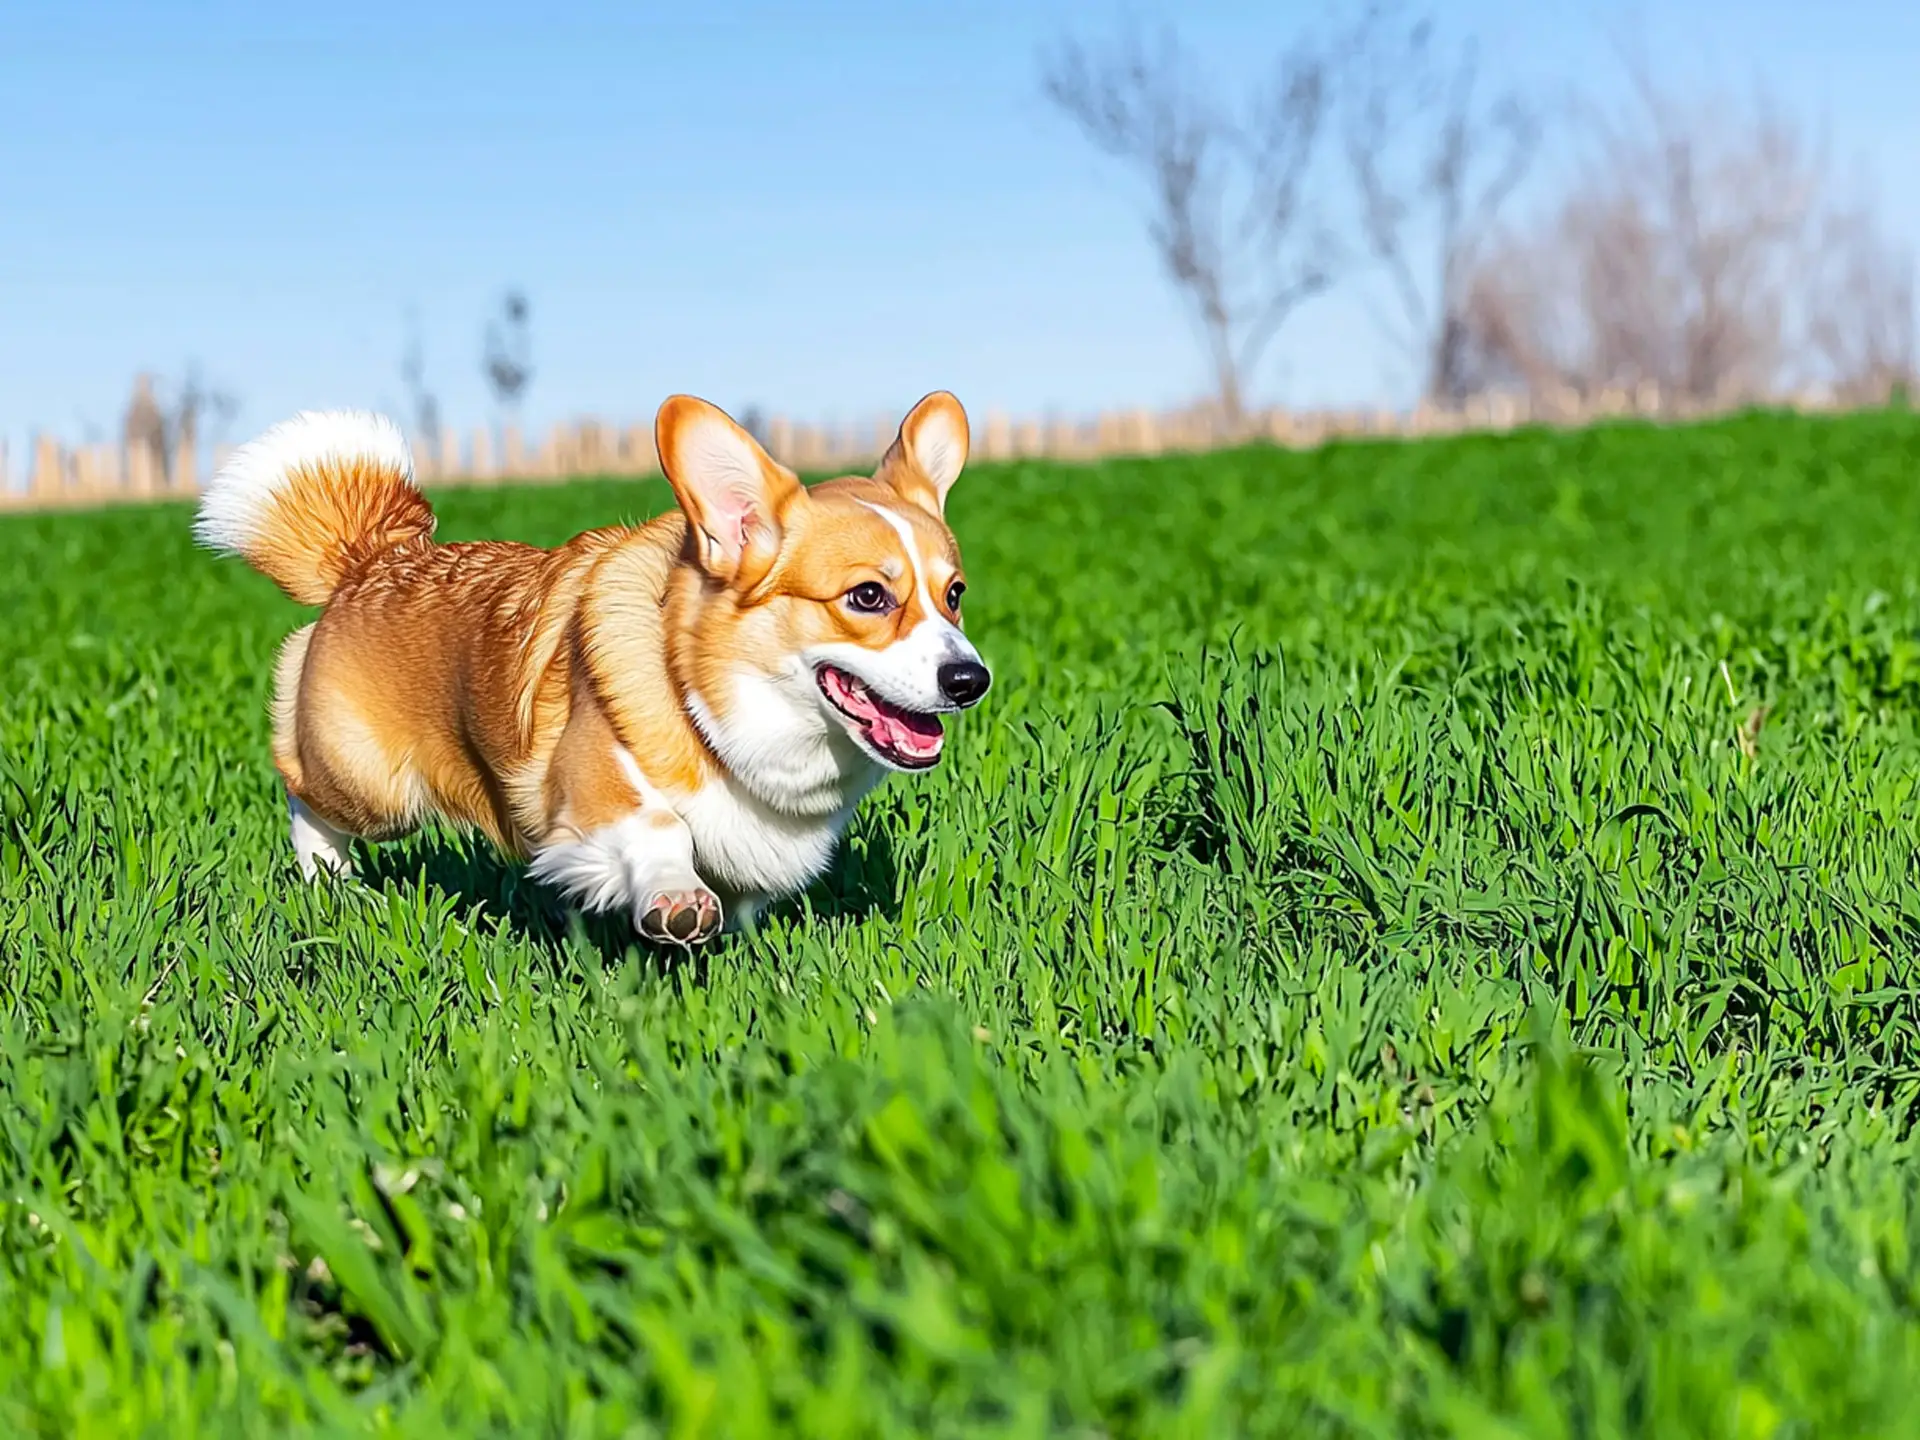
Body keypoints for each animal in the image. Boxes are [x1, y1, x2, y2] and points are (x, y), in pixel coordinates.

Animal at [194, 391, 990, 948]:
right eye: (868, 596)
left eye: (955, 595)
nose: (970, 681)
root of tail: (370, 557)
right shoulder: (588, 786)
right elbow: (660, 826)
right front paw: (676, 902)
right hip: (372, 786)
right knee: (302, 793)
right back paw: (327, 881)